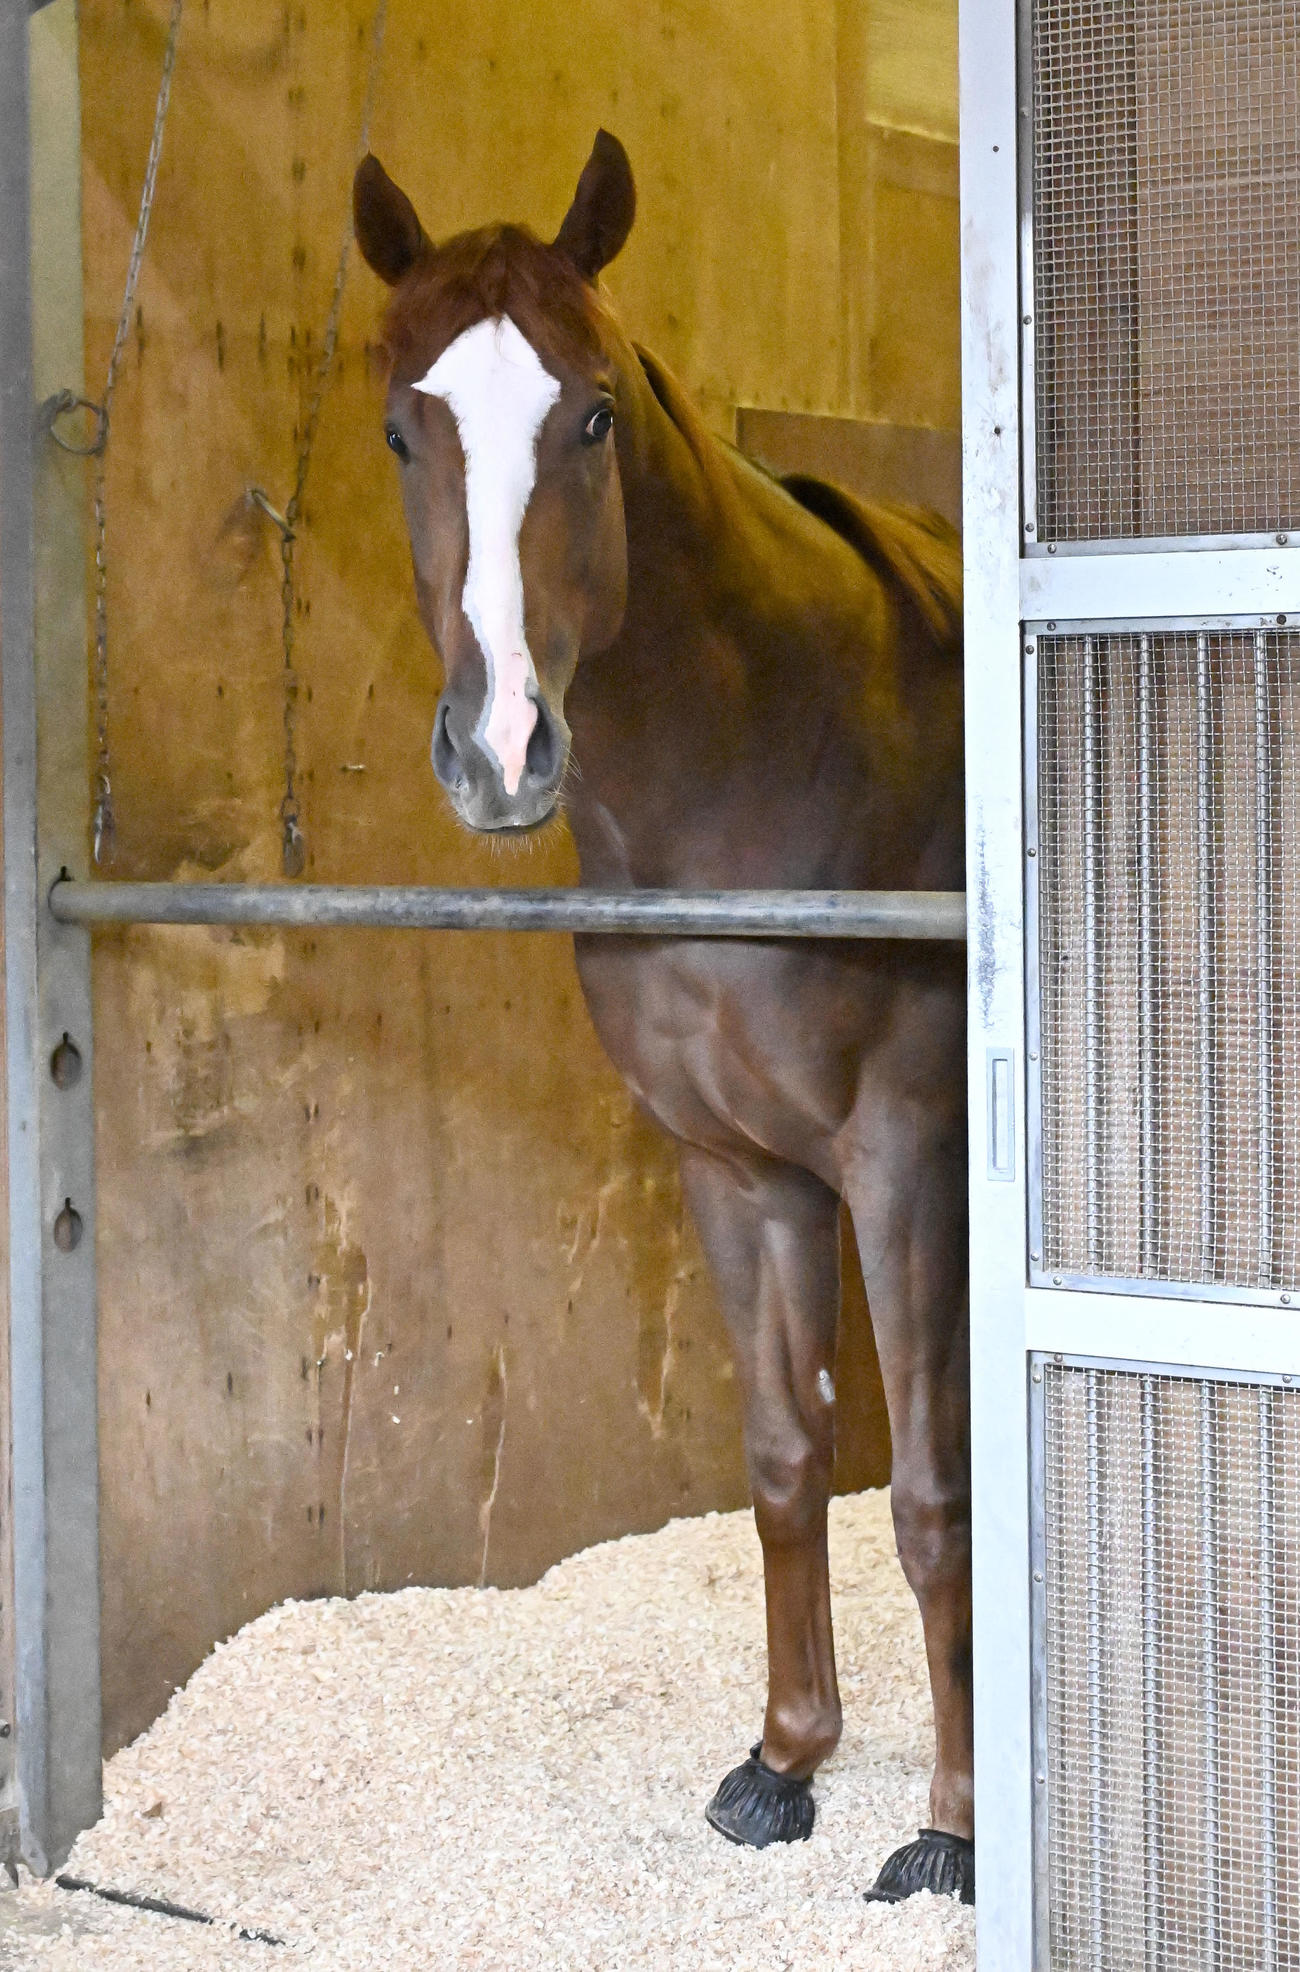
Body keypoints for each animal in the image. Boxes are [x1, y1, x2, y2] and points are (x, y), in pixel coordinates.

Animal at [352, 129, 971, 1906]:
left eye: (594, 416)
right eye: (403, 425)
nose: (503, 749)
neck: (764, 766)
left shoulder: (907, 1161)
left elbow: (927, 1491)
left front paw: (956, 1829)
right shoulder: (735, 1168)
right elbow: (782, 1459)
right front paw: (786, 1761)